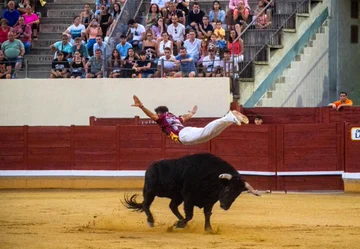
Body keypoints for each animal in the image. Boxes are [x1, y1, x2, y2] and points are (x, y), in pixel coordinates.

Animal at [122, 153, 260, 232]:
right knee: (146, 204)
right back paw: (151, 221)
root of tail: (151, 165)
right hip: (150, 190)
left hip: (177, 196)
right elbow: (190, 215)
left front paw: (208, 229)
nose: (225, 206)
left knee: (172, 206)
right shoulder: (189, 197)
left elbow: (207, 213)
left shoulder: (210, 200)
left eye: (237, 194)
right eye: (227, 189)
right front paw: (179, 224)